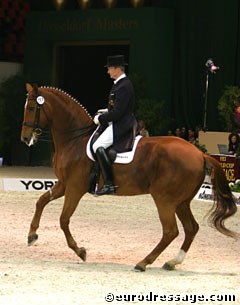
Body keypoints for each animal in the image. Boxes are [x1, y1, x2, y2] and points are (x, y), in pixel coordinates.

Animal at [21, 82, 238, 270]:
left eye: (31, 108)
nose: (25, 138)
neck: (75, 139)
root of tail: (200, 153)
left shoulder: (75, 188)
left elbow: (63, 219)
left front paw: (80, 251)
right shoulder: (64, 184)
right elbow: (41, 201)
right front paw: (32, 235)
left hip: (165, 199)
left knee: (171, 231)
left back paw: (143, 262)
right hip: (181, 202)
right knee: (191, 228)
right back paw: (172, 262)